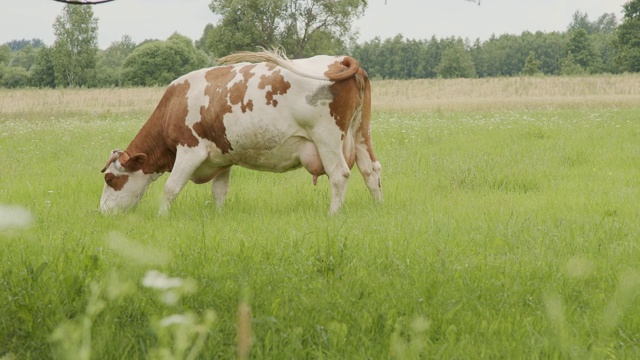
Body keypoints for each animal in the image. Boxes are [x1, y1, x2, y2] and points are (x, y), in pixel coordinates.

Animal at [97, 49, 382, 215]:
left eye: (110, 179)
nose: (102, 212)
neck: (174, 104)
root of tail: (339, 59)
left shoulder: (190, 151)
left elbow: (170, 188)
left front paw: (161, 217)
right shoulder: (223, 157)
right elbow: (219, 192)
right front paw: (220, 217)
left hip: (327, 137)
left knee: (339, 174)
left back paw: (333, 214)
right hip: (361, 133)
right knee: (371, 170)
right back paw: (377, 208)